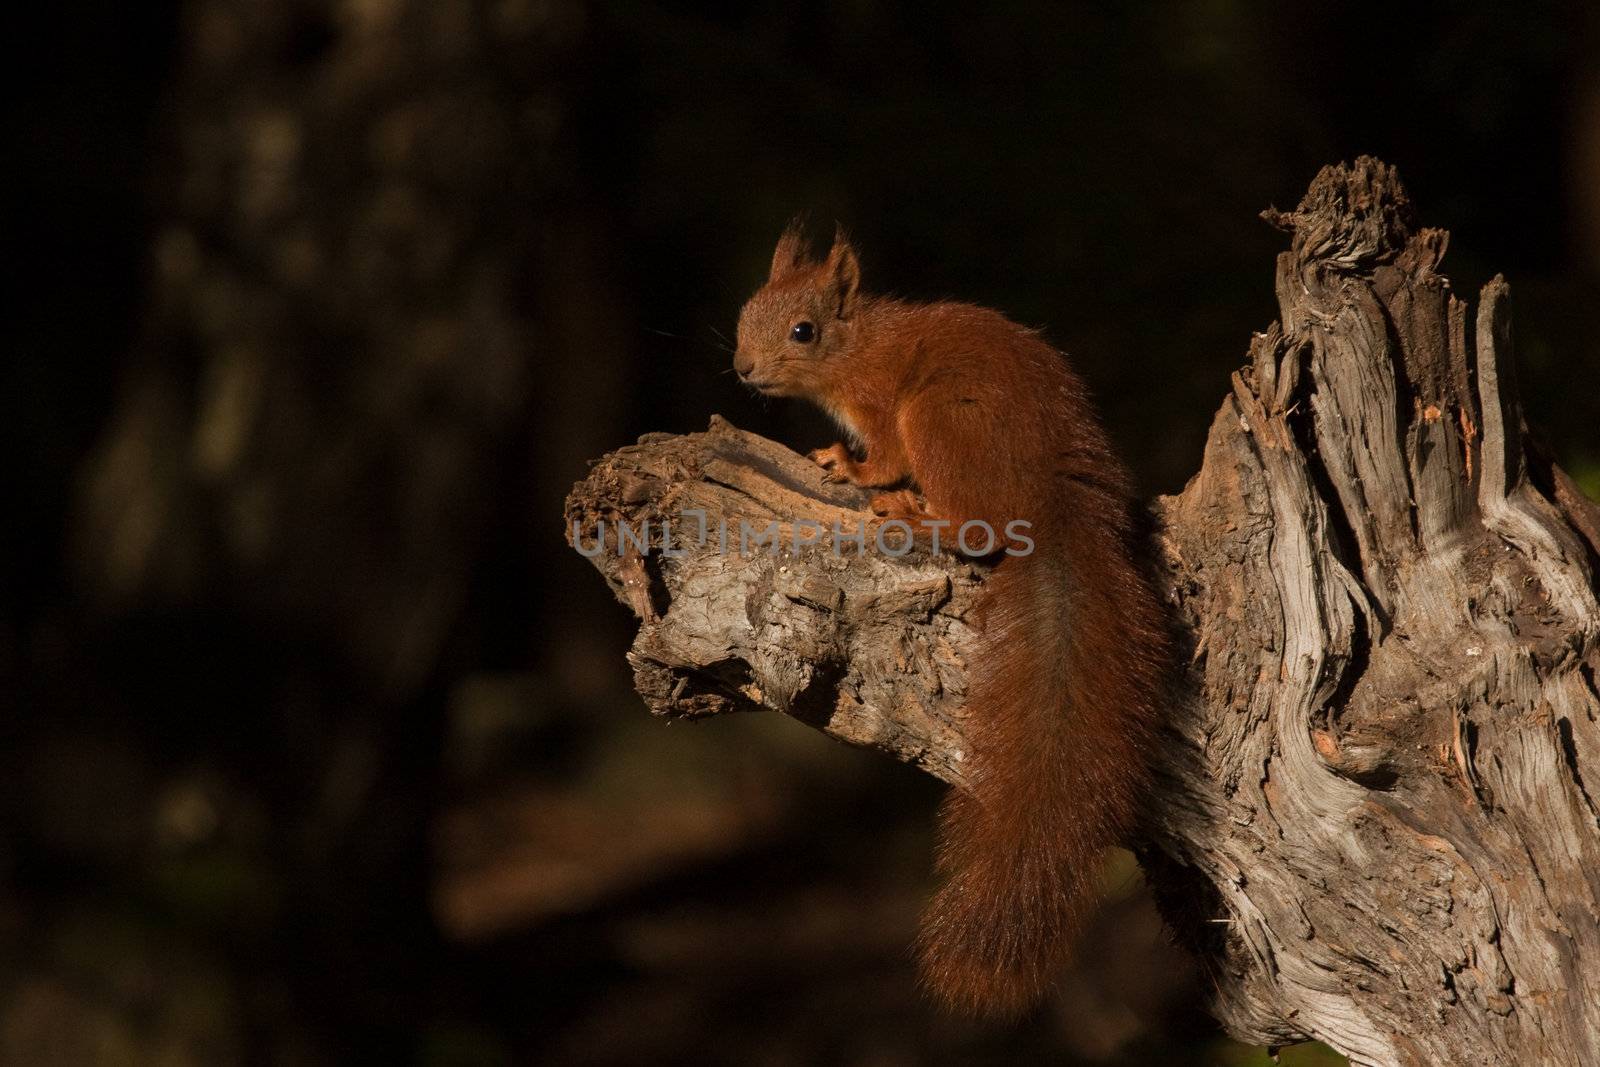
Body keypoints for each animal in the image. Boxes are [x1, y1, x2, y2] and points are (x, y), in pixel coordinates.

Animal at [732, 225, 1171, 1017]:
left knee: (974, 526)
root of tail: (1051, 499)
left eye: (803, 331)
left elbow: (881, 457)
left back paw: (913, 509)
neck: (860, 345)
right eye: (748, 309)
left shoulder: (881, 408)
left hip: (941, 416)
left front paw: (850, 466)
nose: (744, 369)